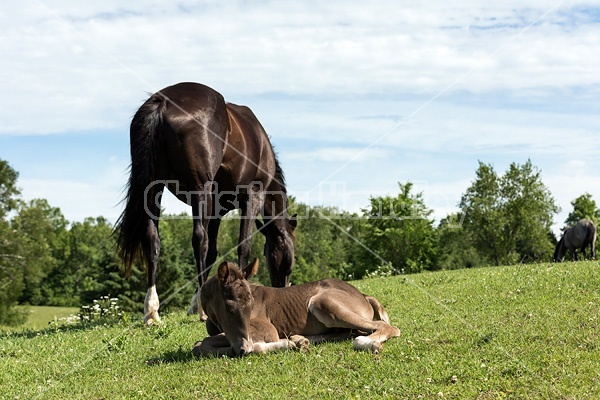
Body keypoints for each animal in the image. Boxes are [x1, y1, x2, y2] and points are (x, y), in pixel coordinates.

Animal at [114, 82, 296, 324]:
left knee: (152, 239)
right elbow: (243, 245)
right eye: (288, 256)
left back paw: (152, 310)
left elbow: (213, 253)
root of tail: (163, 102)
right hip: (201, 188)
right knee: (199, 239)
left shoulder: (217, 209)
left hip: (153, 187)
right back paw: (199, 310)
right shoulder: (252, 197)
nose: (283, 291)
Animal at [197, 260, 400, 358]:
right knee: (347, 332)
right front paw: (292, 342)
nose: (243, 349)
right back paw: (299, 339)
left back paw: (368, 343)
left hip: (322, 302)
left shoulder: (268, 330)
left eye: (251, 304)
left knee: (385, 327)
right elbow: (201, 344)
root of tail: (363, 295)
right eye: (229, 308)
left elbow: (202, 343)